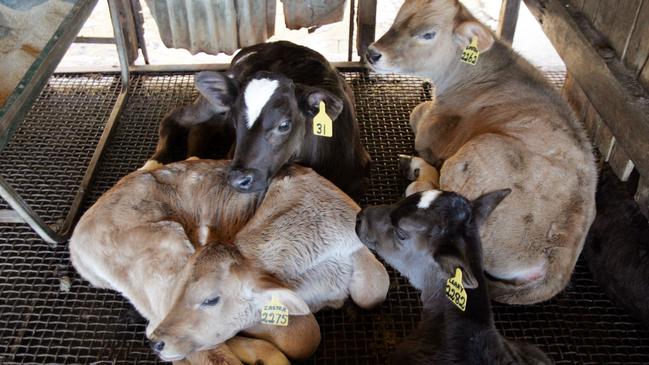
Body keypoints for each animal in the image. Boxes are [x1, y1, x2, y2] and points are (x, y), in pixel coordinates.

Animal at [71, 159, 388, 362]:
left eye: (211, 299)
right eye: (180, 289)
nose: (158, 344)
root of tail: (77, 239)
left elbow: (374, 289)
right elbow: (302, 334)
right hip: (165, 249)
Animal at [146, 41, 370, 198]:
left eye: (284, 125)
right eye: (236, 121)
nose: (239, 180)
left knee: (200, 129)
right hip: (212, 105)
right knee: (173, 118)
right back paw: (153, 163)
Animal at [362, 0, 596, 304]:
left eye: (428, 34)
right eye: (398, 18)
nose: (372, 53)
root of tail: (560, 261)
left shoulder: (432, 130)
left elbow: (417, 115)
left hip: (473, 154)